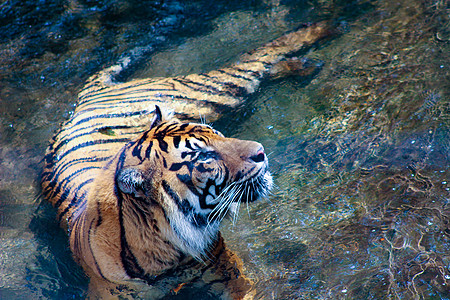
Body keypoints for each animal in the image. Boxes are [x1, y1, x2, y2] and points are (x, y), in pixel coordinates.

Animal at [41, 22, 330, 298]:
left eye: (217, 134)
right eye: (204, 155)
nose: (261, 152)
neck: (168, 252)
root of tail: (84, 98)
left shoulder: (222, 266)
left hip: (209, 94)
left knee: (254, 61)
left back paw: (323, 30)